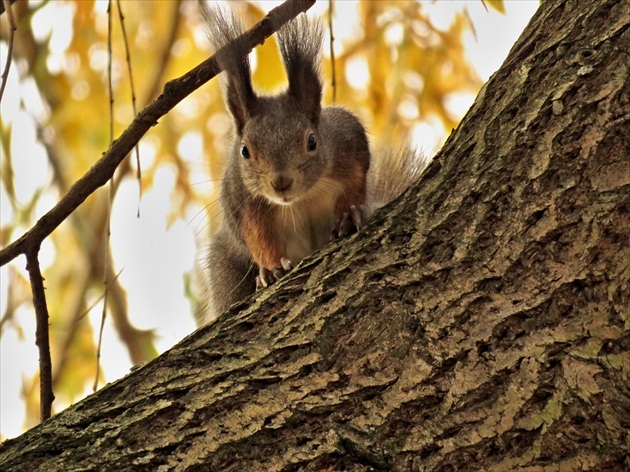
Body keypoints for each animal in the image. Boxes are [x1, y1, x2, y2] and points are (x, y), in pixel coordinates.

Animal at [202, 7, 430, 318]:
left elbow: (355, 189)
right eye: (245, 151)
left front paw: (350, 215)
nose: (281, 183)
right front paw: (270, 269)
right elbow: (258, 237)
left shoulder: (349, 146)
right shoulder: (243, 201)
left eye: (312, 141)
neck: (301, 198)